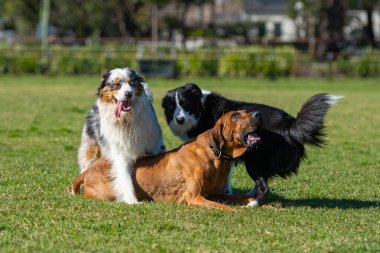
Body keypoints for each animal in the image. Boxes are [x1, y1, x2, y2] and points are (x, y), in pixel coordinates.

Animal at [69, 110, 262, 211]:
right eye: (235, 116)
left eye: (246, 112)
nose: (258, 114)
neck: (215, 155)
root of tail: (86, 172)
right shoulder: (195, 197)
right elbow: (224, 207)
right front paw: (237, 211)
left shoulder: (218, 193)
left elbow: (241, 197)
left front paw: (260, 204)